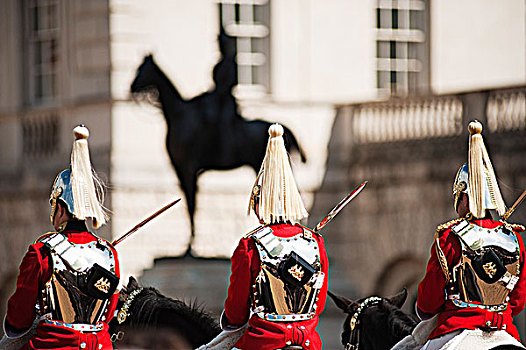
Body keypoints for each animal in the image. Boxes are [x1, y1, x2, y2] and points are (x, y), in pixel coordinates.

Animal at [129, 54, 308, 246]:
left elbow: (191, 204)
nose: (131, 89)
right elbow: (190, 203)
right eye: (137, 68)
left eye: (142, 69)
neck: (178, 115)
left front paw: (191, 244)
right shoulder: (180, 170)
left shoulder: (187, 170)